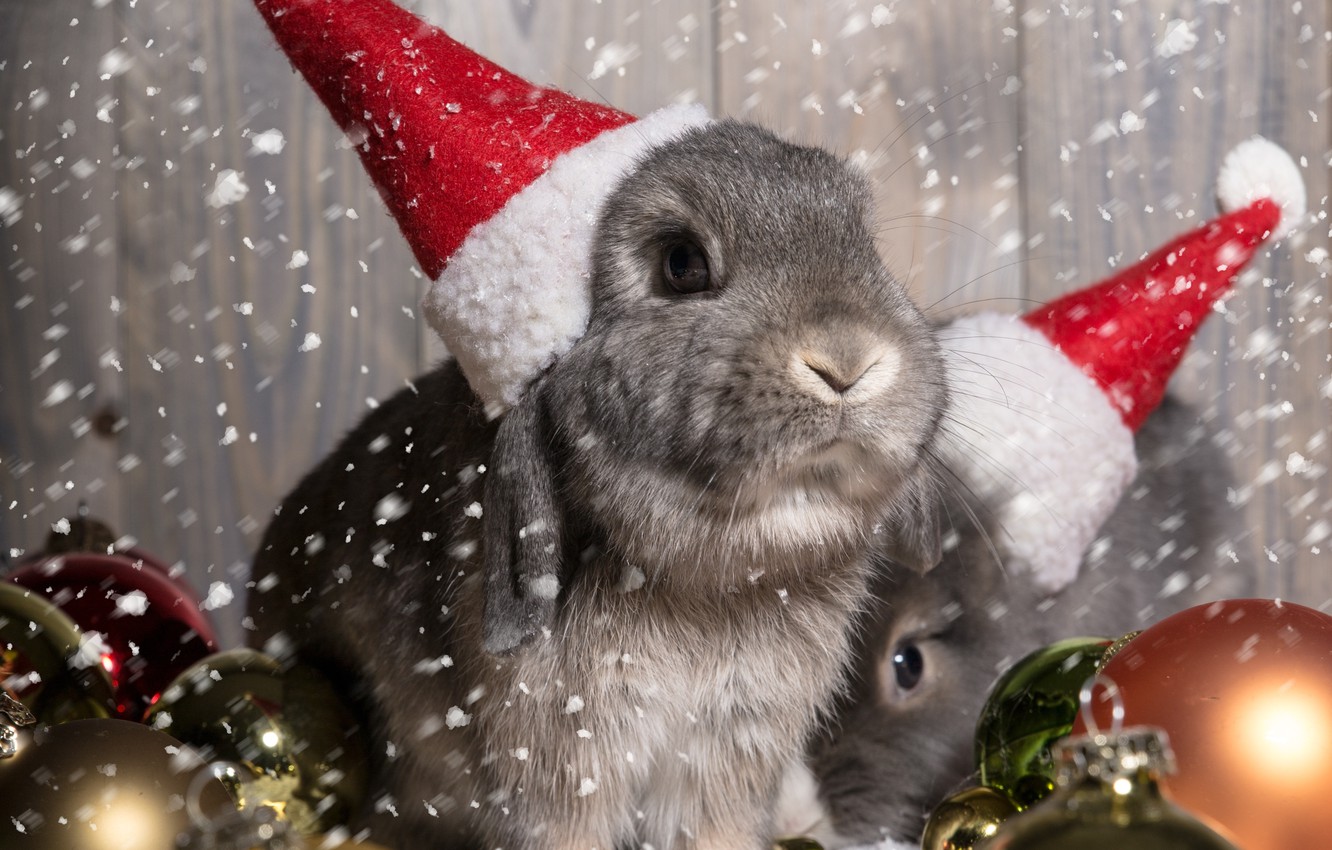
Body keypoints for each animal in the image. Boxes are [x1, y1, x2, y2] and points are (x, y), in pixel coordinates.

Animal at [244, 119, 953, 850]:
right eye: (681, 264)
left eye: (866, 246)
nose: (848, 360)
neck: (716, 581)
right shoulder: (560, 769)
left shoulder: (725, 765)